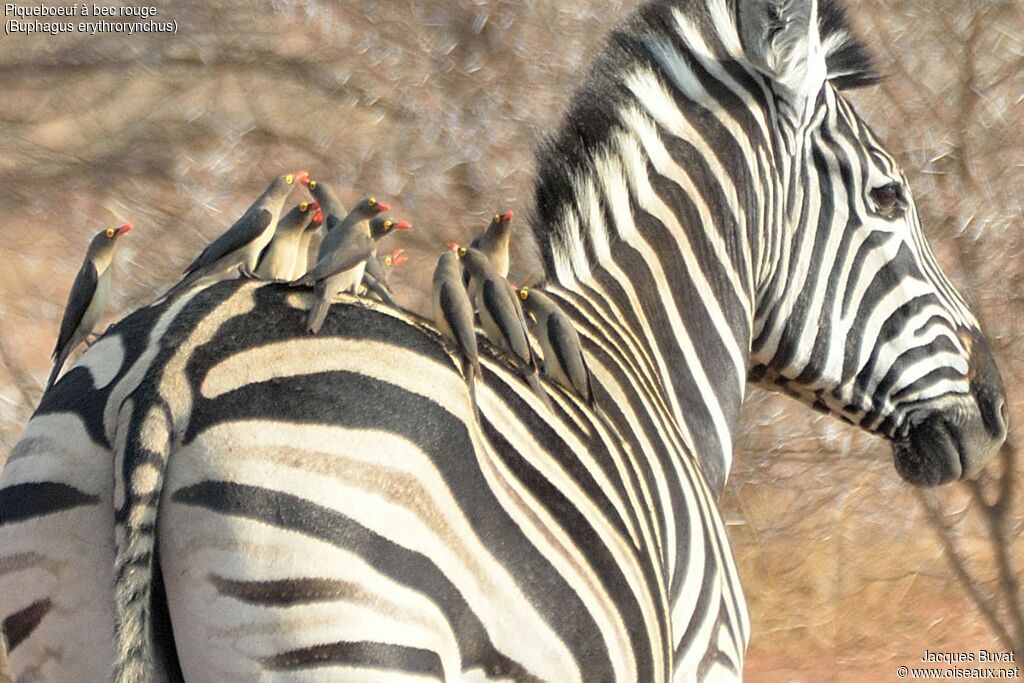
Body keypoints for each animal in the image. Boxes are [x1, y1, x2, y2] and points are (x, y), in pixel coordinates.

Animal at [0, 0, 1007, 679]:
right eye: (889, 198)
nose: (995, 403)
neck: (639, 346)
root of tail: (171, 361)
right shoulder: (704, 653)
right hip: (350, 625)